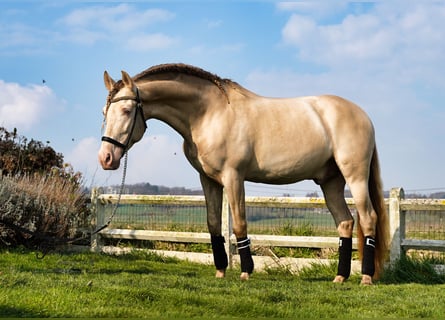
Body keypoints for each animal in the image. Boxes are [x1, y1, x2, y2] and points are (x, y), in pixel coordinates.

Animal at [98, 62, 388, 284]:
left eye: (126, 110)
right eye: (104, 111)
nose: (106, 158)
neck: (209, 113)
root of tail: (363, 115)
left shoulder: (233, 177)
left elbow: (239, 223)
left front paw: (246, 272)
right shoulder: (208, 180)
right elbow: (213, 223)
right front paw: (220, 271)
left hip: (355, 177)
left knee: (368, 218)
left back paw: (365, 278)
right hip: (330, 182)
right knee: (345, 222)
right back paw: (340, 277)